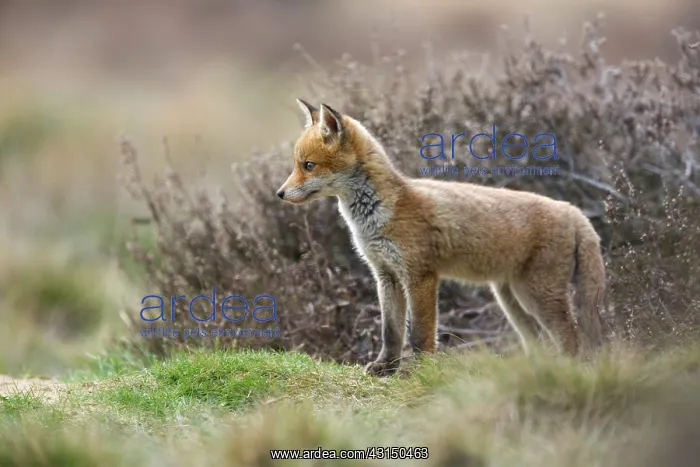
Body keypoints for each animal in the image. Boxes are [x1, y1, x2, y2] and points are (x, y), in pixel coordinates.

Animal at [277, 99, 607, 377]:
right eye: (296, 165)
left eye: (308, 165)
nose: (279, 194)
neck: (378, 215)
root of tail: (572, 210)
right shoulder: (386, 276)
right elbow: (391, 332)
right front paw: (386, 367)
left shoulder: (420, 276)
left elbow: (420, 335)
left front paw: (419, 372)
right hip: (512, 298)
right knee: (539, 341)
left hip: (538, 295)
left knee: (571, 337)